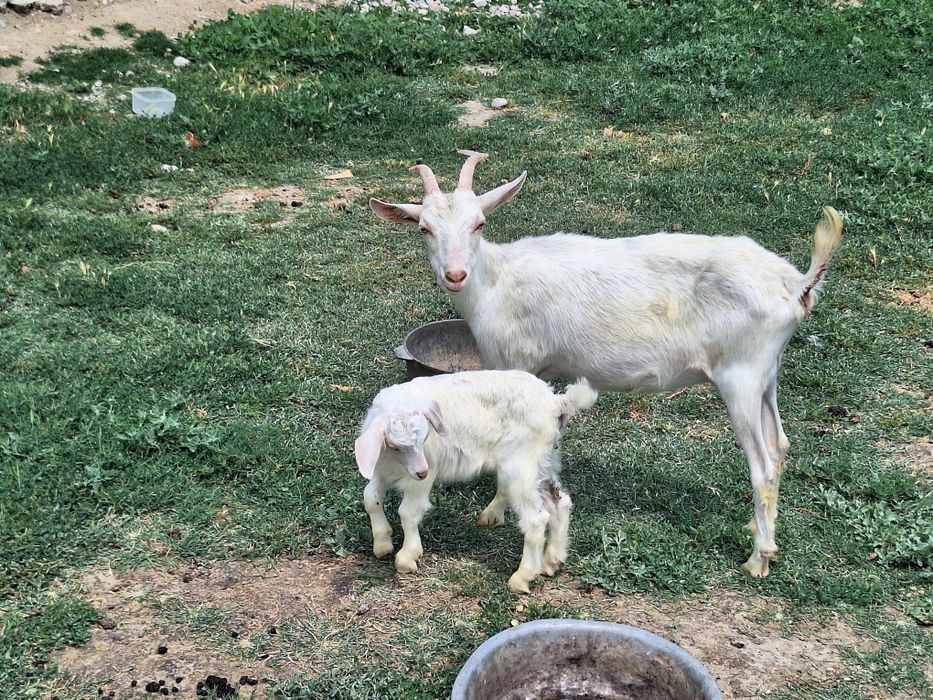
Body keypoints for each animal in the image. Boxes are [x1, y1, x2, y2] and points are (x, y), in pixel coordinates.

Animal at [355, 370, 597, 593]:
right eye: (395, 446)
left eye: (424, 438)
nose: (422, 471)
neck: (395, 463)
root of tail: (556, 402)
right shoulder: (382, 470)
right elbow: (370, 498)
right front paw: (382, 543)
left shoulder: (420, 478)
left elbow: (407, 511)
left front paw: (407, 556)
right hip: (545, 461)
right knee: (560, 501)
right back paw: (551, 561)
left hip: (521, 465)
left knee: (536, 519)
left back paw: (522, 577)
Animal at [370, 151, 844, 578]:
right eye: (425, 228)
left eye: (479, 223)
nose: (455, 275)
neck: (497, 280)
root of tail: (797, 285)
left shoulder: (517, 361)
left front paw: (493, 512)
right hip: (767, 373)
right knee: (780, 446)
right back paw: (757, 529)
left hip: (740, 375)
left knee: (762, 464)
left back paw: (758, 559)